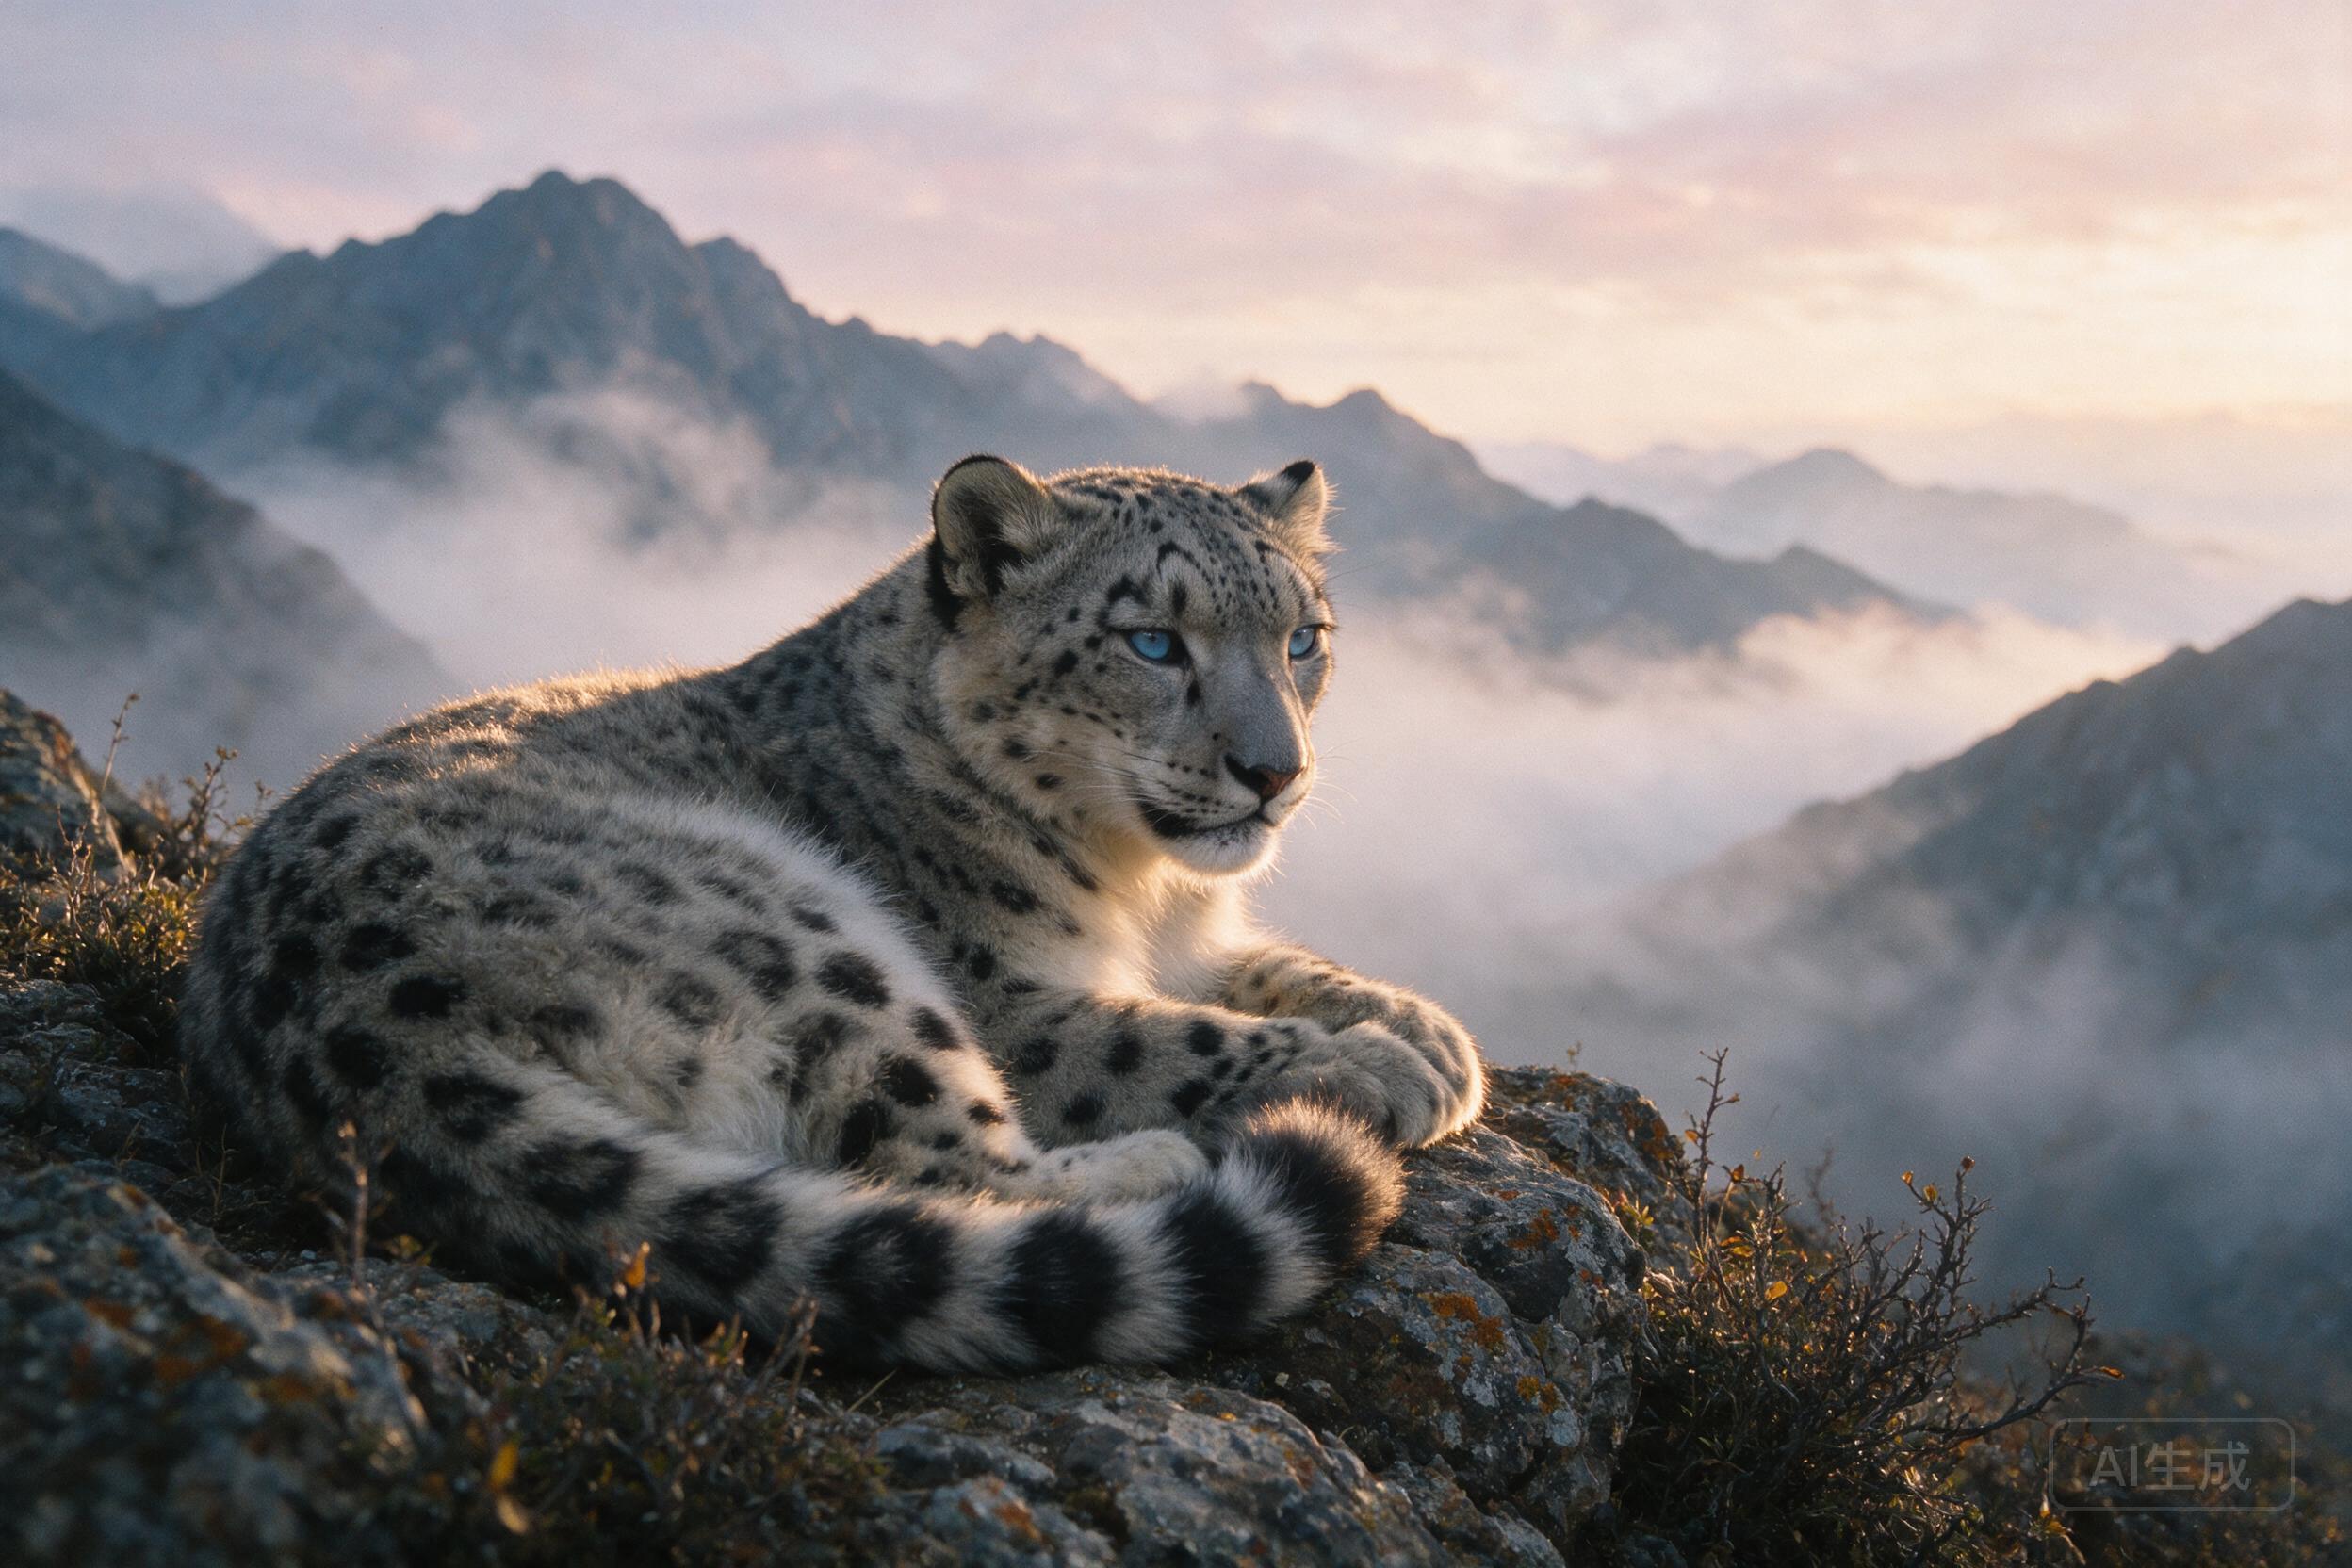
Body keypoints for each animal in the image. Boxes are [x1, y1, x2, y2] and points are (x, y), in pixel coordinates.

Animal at [178, 454, 1488, 1372]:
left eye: (1304, 636)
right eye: (1154, 639)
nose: (1278, 771)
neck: (1138, 887)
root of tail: (356, 1039)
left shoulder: (1186, 938)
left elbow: (1263, 970)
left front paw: (1429, 1035)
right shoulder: (1009, 994)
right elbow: (1153, 1034)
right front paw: (1373, 1067)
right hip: (809, 939)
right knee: (945, 1161)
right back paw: (1151, 1159)